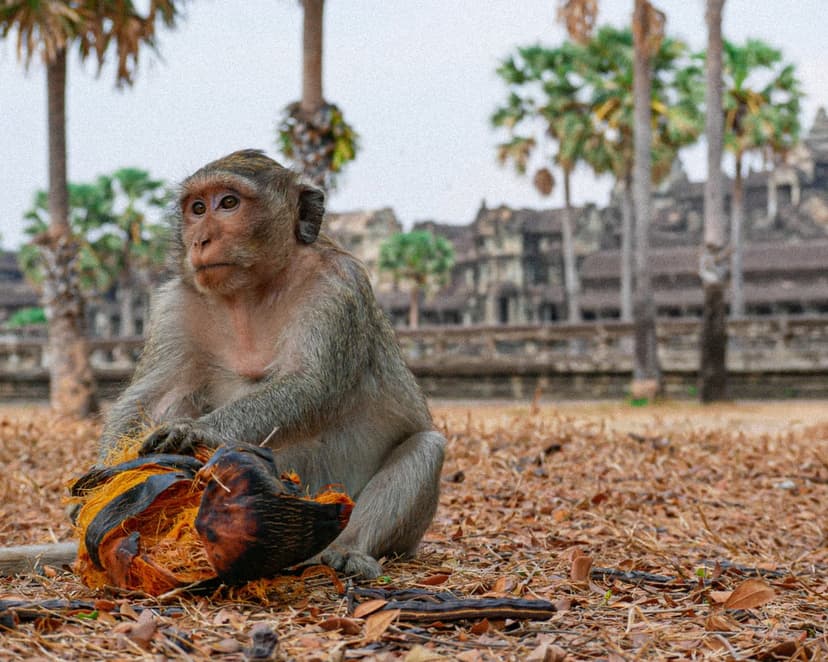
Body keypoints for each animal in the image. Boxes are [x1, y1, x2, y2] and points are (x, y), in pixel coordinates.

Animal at [96, 149, 446, 579]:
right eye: (197, 209)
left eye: (229, 203)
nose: (200, 240)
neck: (250, 292)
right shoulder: (175, 303)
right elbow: (149, 396)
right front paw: (106, 485)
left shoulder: (337, 288)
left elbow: (312, 386)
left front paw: (194, 431)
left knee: (426, 447)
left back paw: (345, 550)